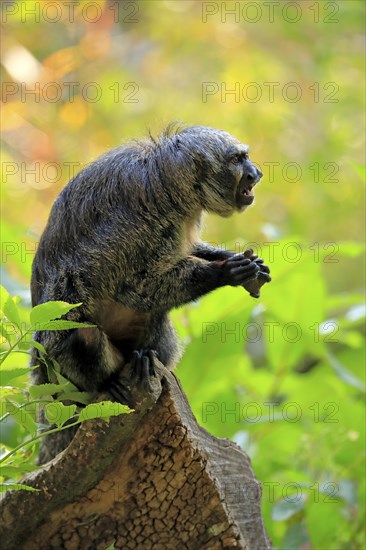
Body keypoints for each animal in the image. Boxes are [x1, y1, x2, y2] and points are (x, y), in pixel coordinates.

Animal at [31, 124, 270, 462]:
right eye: (238, 160)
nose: (255, 173)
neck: (170, 184)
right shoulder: (139, 224)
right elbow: (133, 290)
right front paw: (226, 273)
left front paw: (238, 261)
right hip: (57, 367)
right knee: (80, 331)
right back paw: (107, 382)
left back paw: (144, 357)